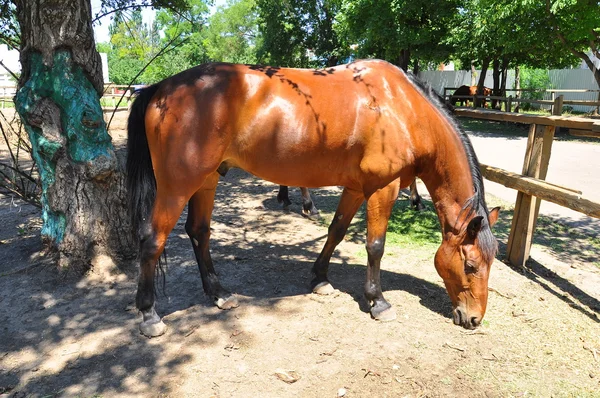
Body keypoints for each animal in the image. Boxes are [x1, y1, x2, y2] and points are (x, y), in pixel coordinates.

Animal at [127, 60, 502, 338]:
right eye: (470, 265)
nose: (474, 319)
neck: (402, 107)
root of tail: (162, 88)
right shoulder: (384, 188)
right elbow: (375, 246)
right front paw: (377, 302)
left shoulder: (356, 188)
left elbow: (336, 231)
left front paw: (320, 279)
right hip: (178, 185)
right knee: (152, 239)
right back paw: (149, 315)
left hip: (206, 180)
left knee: (198, 232)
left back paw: (219, 294)